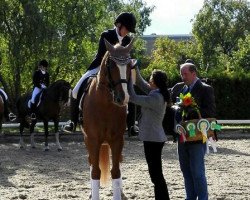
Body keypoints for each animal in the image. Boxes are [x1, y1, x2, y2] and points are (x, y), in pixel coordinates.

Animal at [81, 39, 134, 200]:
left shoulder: (117, 140)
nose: (123, 98)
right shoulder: (92, 140)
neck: (105, 104)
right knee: (91, 163)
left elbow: (116, 171)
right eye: (111, 65)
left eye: (129, 66)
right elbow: (95, 172)